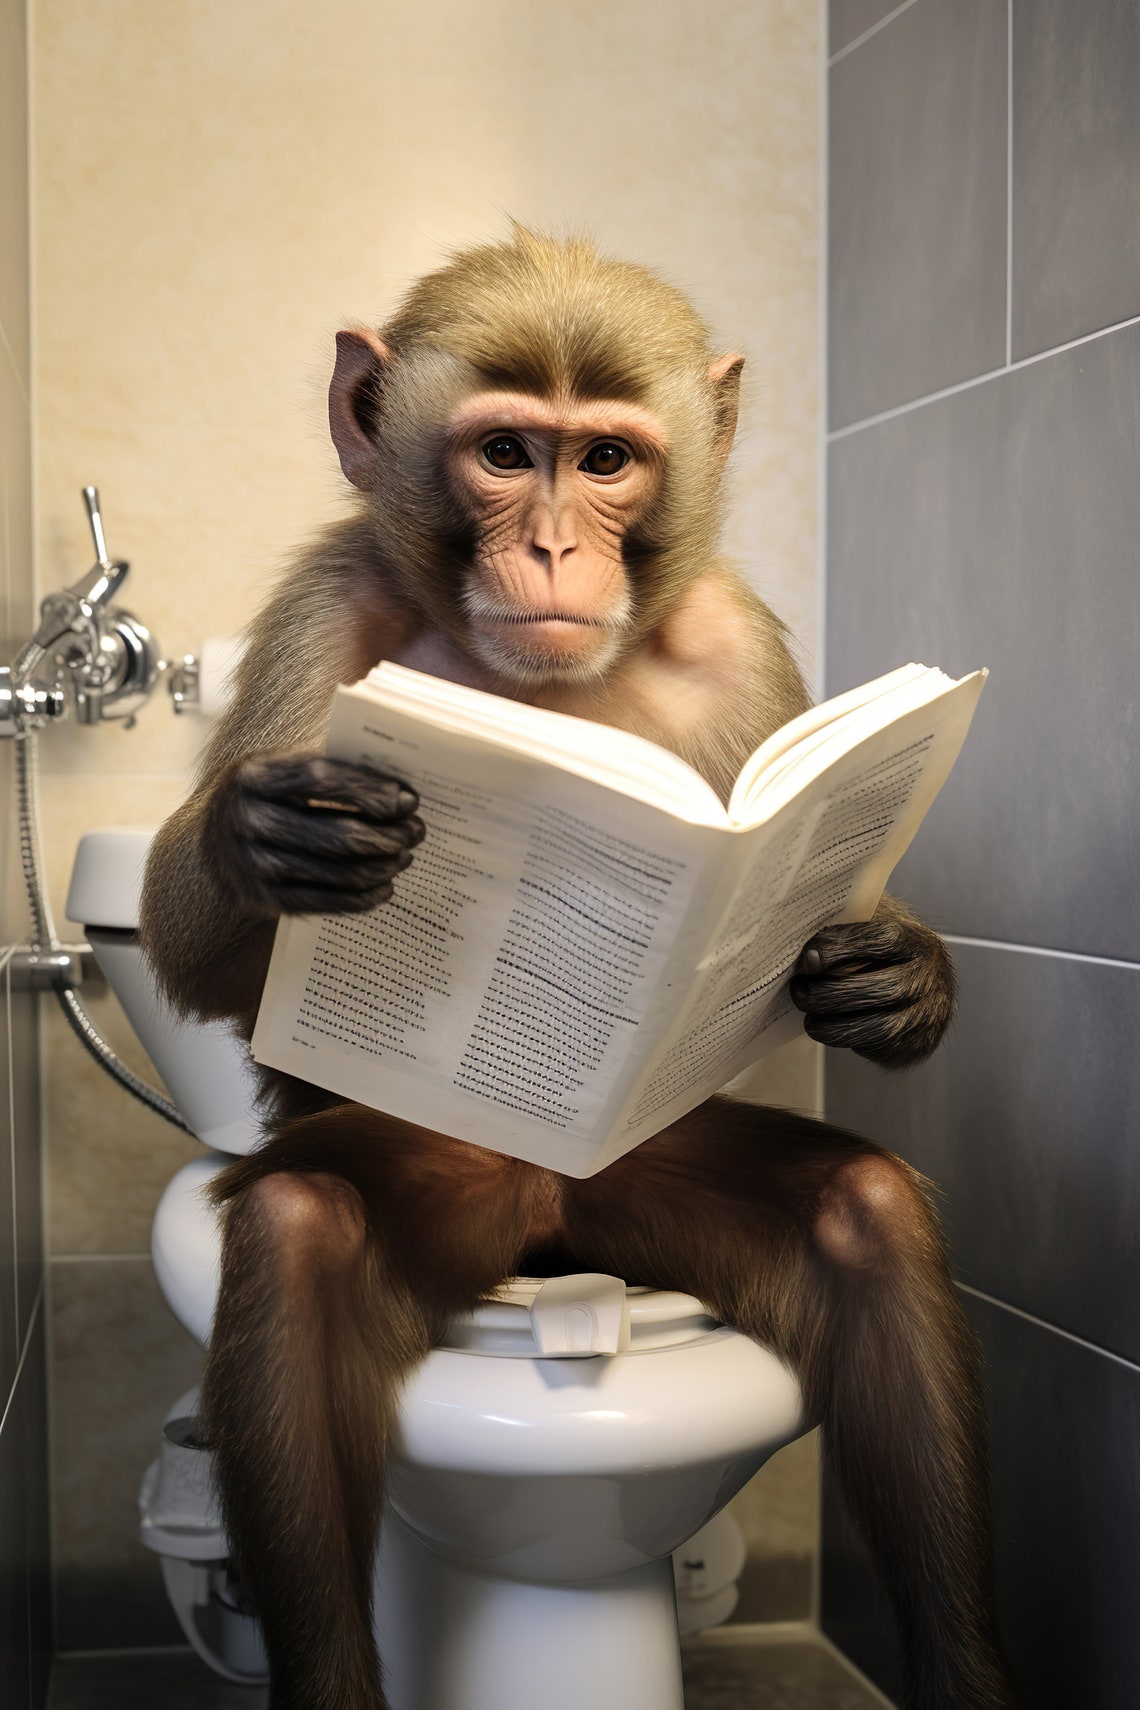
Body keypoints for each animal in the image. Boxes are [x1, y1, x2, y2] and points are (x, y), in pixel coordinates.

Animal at [140, 230, 1016, 1710]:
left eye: (606, 461)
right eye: (506, 452)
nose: (554, 545)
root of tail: (557, 1248)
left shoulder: (738, 639)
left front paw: (895, 973)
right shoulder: (323, 615)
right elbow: (194, 964)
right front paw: (266, 837)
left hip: (648, 1190)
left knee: (871, 1216)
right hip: (443, 1183)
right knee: (301, 1231)